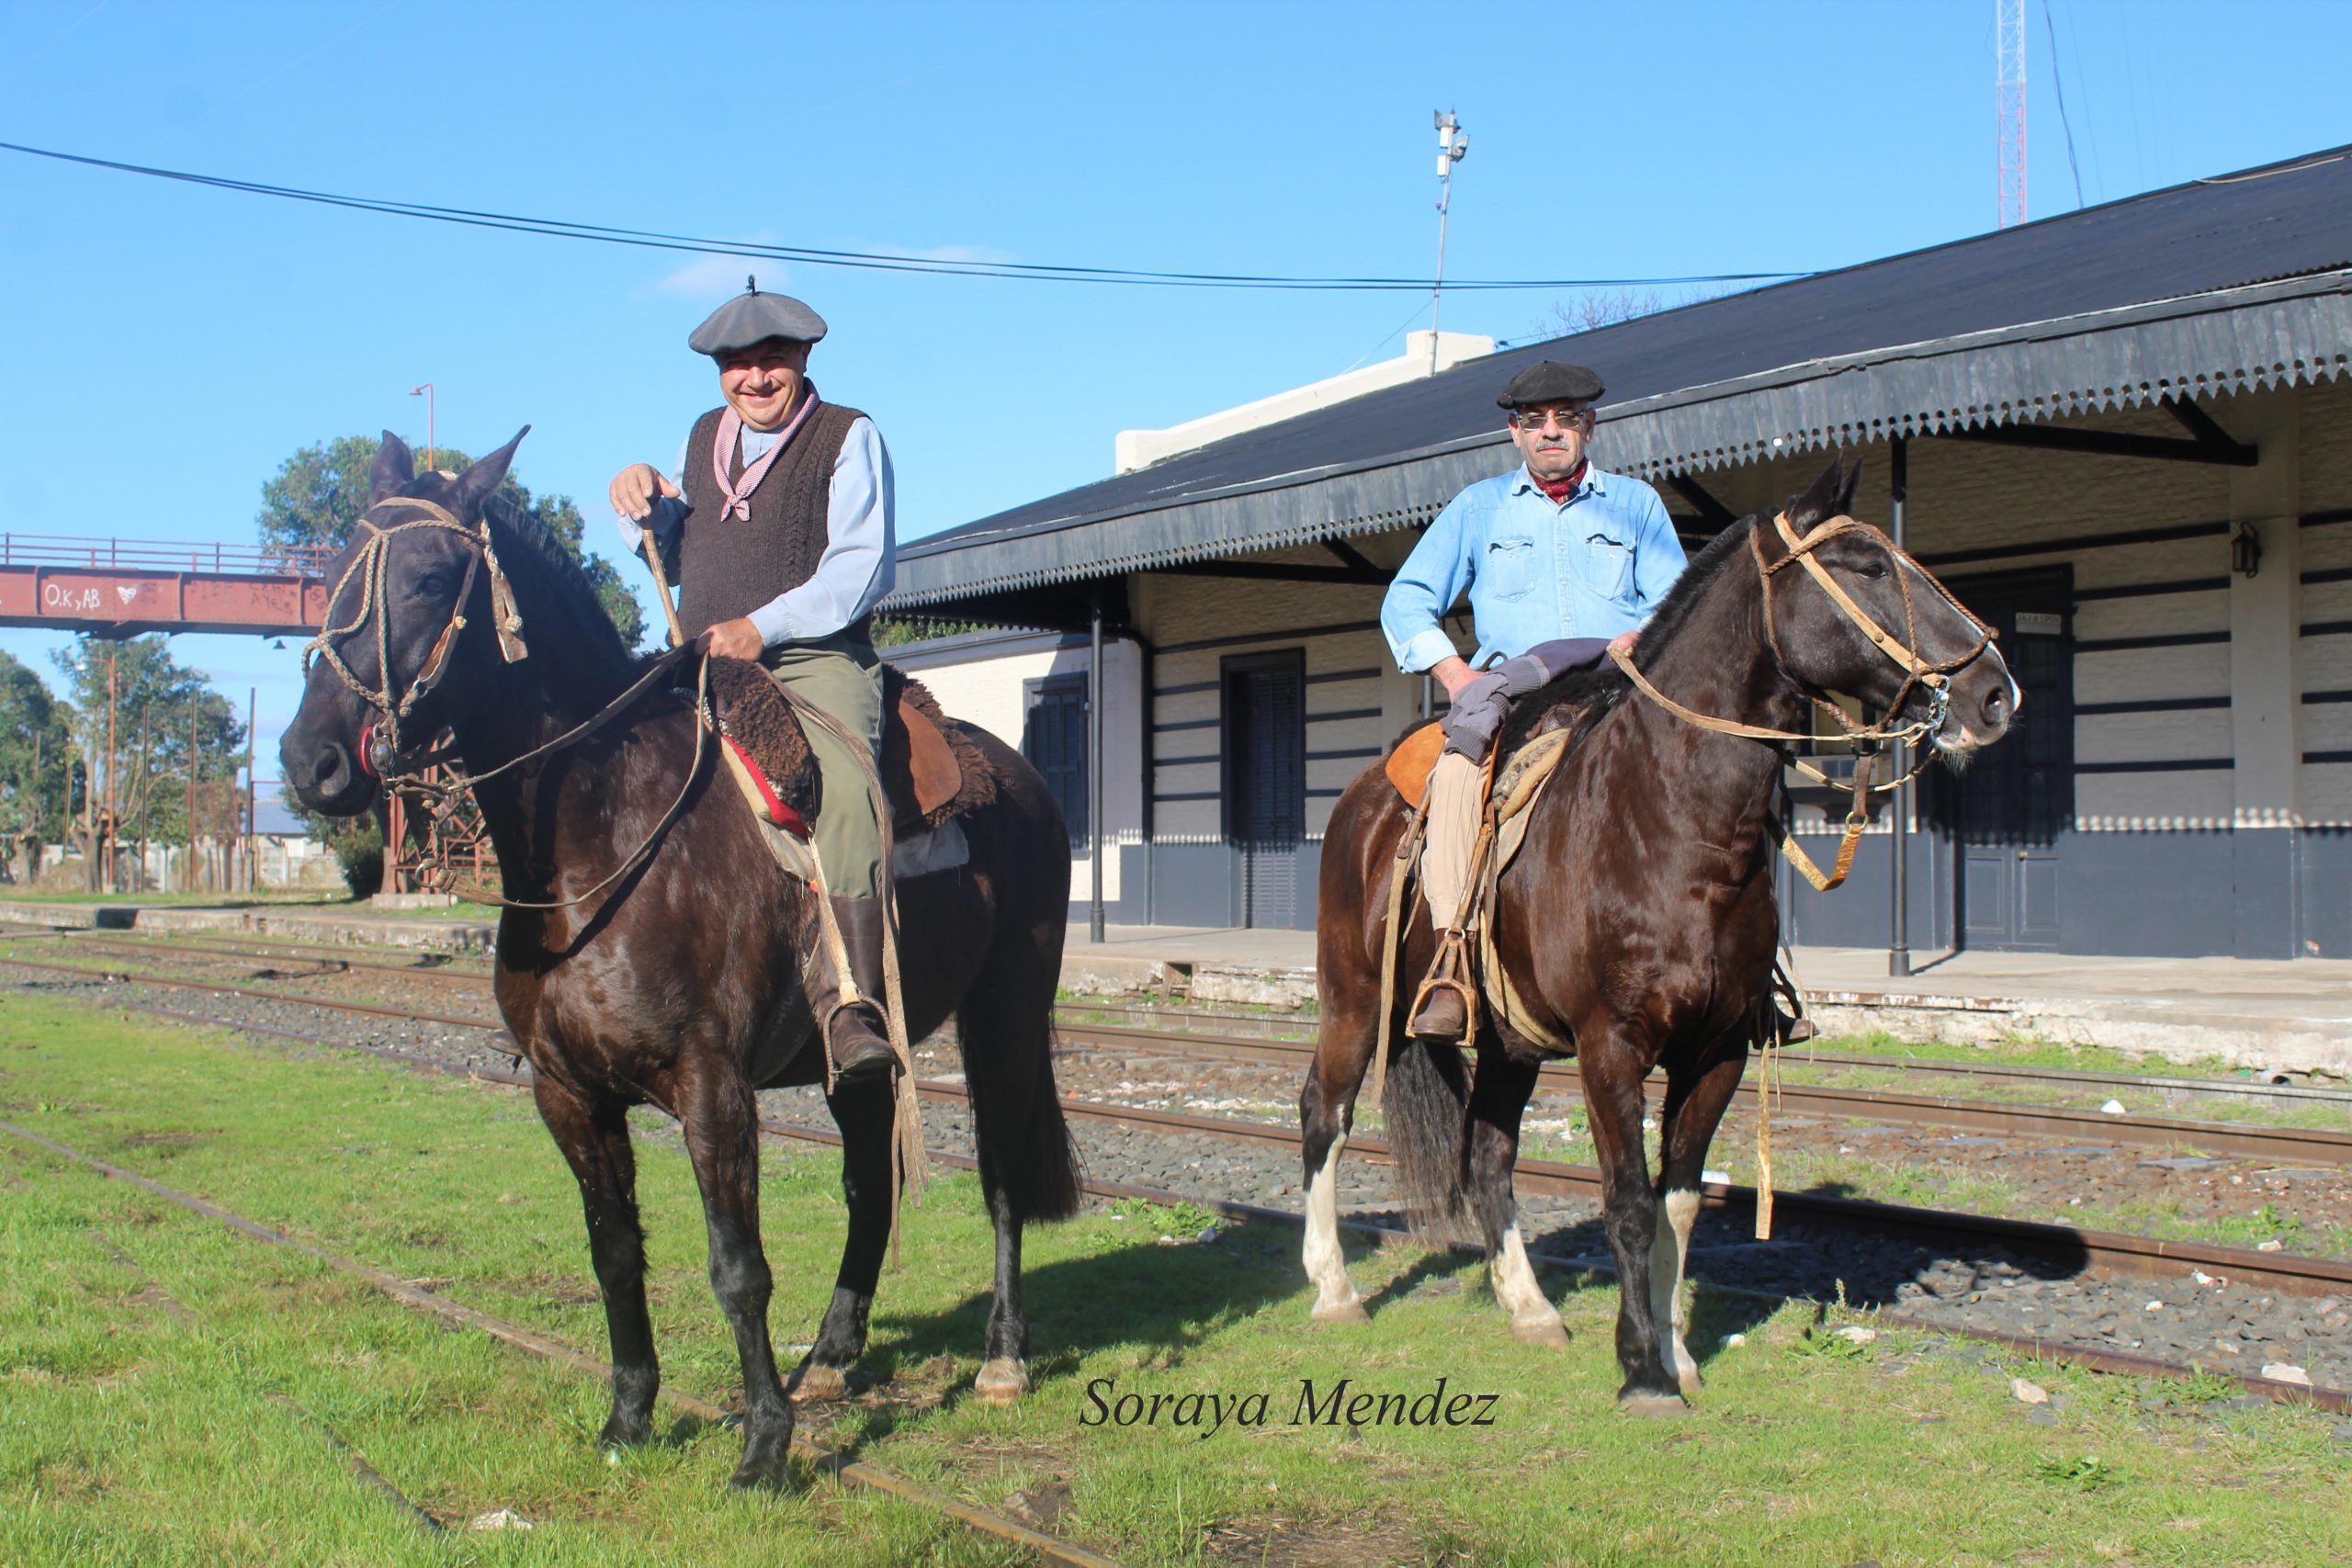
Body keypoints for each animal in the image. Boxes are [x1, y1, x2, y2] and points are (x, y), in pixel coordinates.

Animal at [280, 431, 1082, 1490]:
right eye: (333, 574)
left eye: (427, 579)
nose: (311, 761)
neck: (601, 838)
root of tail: (1018, 775)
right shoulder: (569, 1094)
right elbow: (615, 1252)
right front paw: (629, 1416)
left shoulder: (713, 1087)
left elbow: (737, 1268)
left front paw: (763, 1447)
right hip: (857, 1058)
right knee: (869, 1182)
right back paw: (833, 1355)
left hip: (1006, 1017)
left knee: (999, 1177)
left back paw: (1001, 1356)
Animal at [1300, 458, 2017, 1412]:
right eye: (1867, 566)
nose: (1995, 691)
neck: (1674, 823)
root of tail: (1364, 796)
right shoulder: (1612, 1046)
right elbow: (1629, 1203)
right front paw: (1643, 1370)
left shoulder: (1718, 1050)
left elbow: (1678, 1202)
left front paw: (1676, 1351)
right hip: (1353, 1002)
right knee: (1325, 1114)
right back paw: (1335, 1288)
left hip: (1508, 1041)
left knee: (1488, 1153)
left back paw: (1530, 1307)